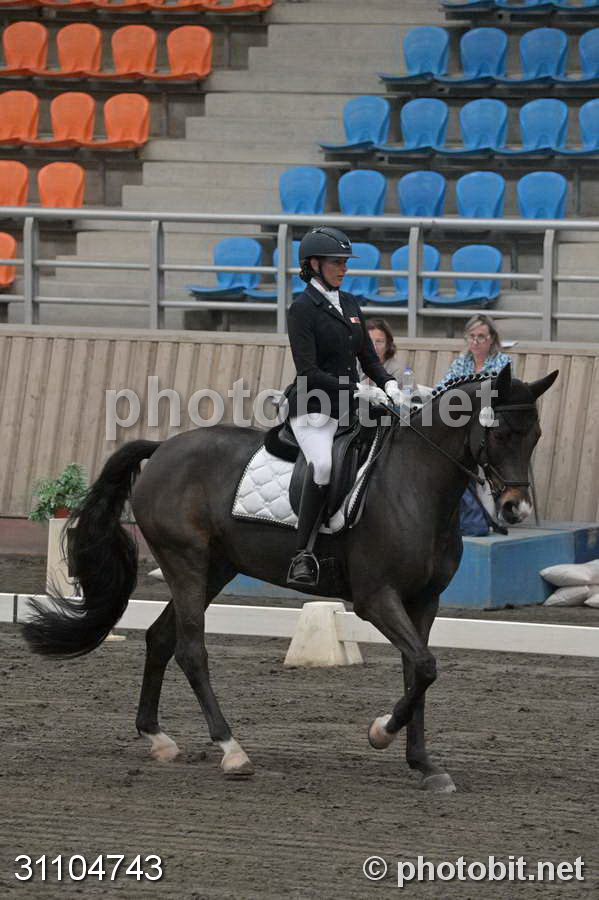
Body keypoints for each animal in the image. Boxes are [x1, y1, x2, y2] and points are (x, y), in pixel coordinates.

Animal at [23, 364, 557, 792]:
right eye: (502, 434)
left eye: (535, 436)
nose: (515, 508)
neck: (416, 484)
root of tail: (166, 448)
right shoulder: (376, 598)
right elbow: (424, 667)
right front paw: (380, 733)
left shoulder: (424, 601)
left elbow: (419, 671)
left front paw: (425, 765)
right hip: (186, 562)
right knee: (190, 649)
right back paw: (232, 750)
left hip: (216, 568)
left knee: (159, 638)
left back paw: (158, 738)